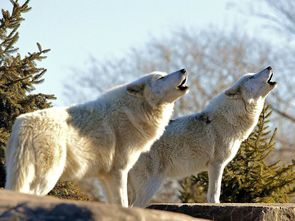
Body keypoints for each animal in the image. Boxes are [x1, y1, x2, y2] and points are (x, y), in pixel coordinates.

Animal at [5, 69, 190, 207]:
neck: (134, 111)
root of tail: (24, 124)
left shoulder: (104, 177)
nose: (183, 69)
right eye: (161, 77)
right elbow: (123, 203)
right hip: (47, 178)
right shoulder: (119, 172)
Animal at [129, 66, 278, 206]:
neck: (228, 119)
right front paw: (216, 204)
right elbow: (215, 191)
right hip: (152, 184)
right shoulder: (216, 164)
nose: (270, 67)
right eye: (251, 77)